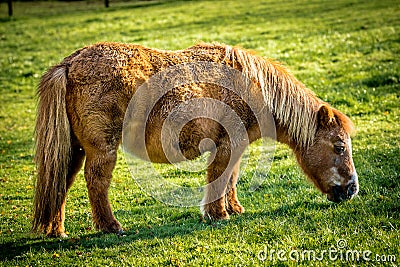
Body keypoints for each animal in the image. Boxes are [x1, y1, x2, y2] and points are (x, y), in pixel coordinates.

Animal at [32, 43, 360, 238]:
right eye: (339, 146)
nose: (352, 189)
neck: (251, 86)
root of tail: (69, 63)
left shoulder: (235, 147)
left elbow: (231, 178)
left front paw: (233, 209)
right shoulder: (226, 145)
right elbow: (220, 178)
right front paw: (217, 214)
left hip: (73, 150)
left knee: (61, 182)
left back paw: (55, 230)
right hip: (101, 150)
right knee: (96, 182)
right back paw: (110, 226)